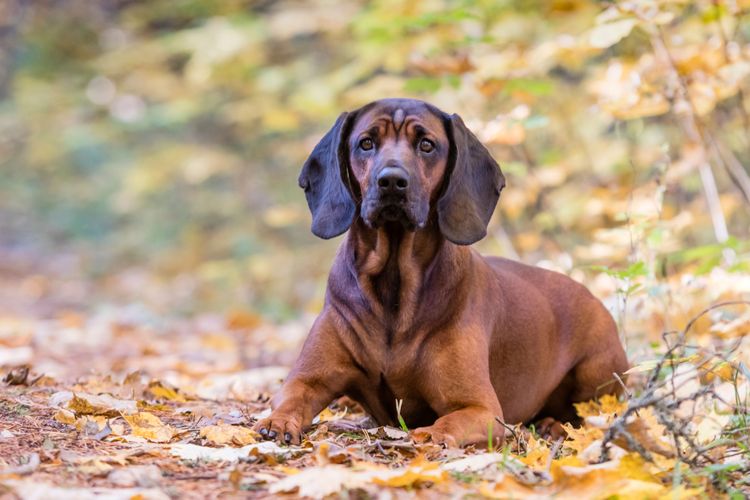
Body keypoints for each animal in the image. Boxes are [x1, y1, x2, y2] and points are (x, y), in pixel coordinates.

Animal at [256, 96, 632, 446]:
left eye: (426, 144)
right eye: (366, 143)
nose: (391, 181)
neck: (394, 284)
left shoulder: (480, 408)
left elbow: (446, 424)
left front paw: (425, 436)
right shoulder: (306, 379)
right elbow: (290, 398)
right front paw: (277, 423)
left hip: (597, 371)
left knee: (585, 414)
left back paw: (554, 425)